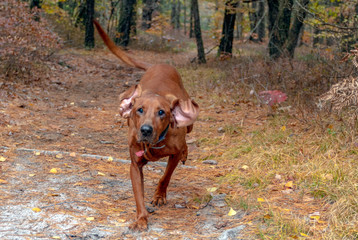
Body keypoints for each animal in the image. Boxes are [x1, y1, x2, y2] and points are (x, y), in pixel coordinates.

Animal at [93, 20, 199, 231]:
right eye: (139, 110)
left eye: (162, 112)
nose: (146, 130)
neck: (154, 144)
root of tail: (159, 64)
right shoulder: (135, 165)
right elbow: (138, 195)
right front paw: (141, 218)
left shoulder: (173, 154)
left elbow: (166, 176)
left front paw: (159, 195)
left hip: (188, 114)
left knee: (186, 141)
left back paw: (186, 152)